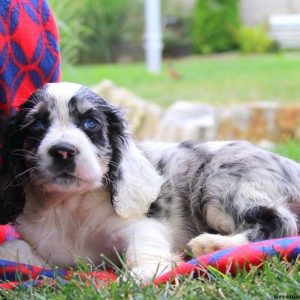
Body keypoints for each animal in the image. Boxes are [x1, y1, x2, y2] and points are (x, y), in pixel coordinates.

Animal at [0, 82, 300, 282]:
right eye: (37, 125)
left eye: (91, 124)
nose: (63, 151)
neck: (68, 209)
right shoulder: (45, 252)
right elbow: (17, 249)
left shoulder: (141, 226)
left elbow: (143, 251)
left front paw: (139, 275)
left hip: (218, 184)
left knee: (282, 222)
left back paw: (213, 246)